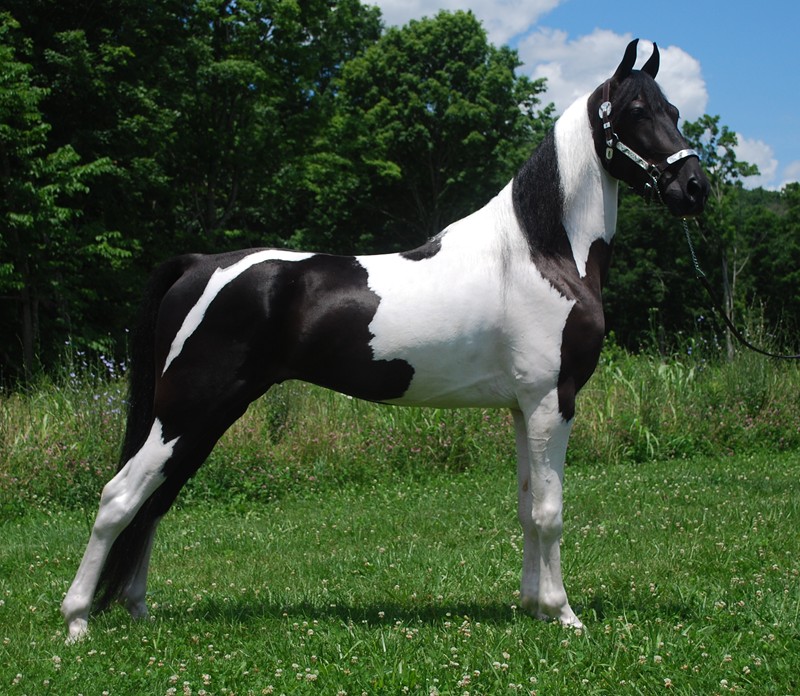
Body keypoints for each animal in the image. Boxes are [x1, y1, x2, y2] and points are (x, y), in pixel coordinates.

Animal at [61, 39, 709, 642]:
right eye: (635, 111)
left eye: (674, 109)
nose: (696, 186)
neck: (539, 254)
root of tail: (199, 263)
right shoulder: (553, 401)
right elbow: (550, 513)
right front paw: (563, 613)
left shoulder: (524, 407)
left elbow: (528, 508)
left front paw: (532, 605)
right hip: (187, 413)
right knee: (119, 497)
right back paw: (76, 621)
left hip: (203, 419)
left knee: (154, 501)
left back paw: (137, 610)